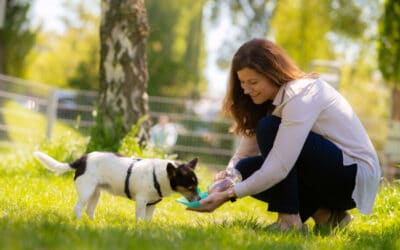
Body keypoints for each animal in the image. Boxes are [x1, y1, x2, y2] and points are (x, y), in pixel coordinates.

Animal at [33, 151, 199, 222]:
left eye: (197, 185)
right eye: (190, 187)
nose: (198, 198)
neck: (158, 175)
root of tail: (82, 160)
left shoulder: (151, 205)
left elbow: (147, 221)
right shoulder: (141, 202)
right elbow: (139, 219)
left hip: (96, 193)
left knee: (89, 210)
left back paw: (92, 224)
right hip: (86, 191)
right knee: (78, 208)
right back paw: (79, 222)